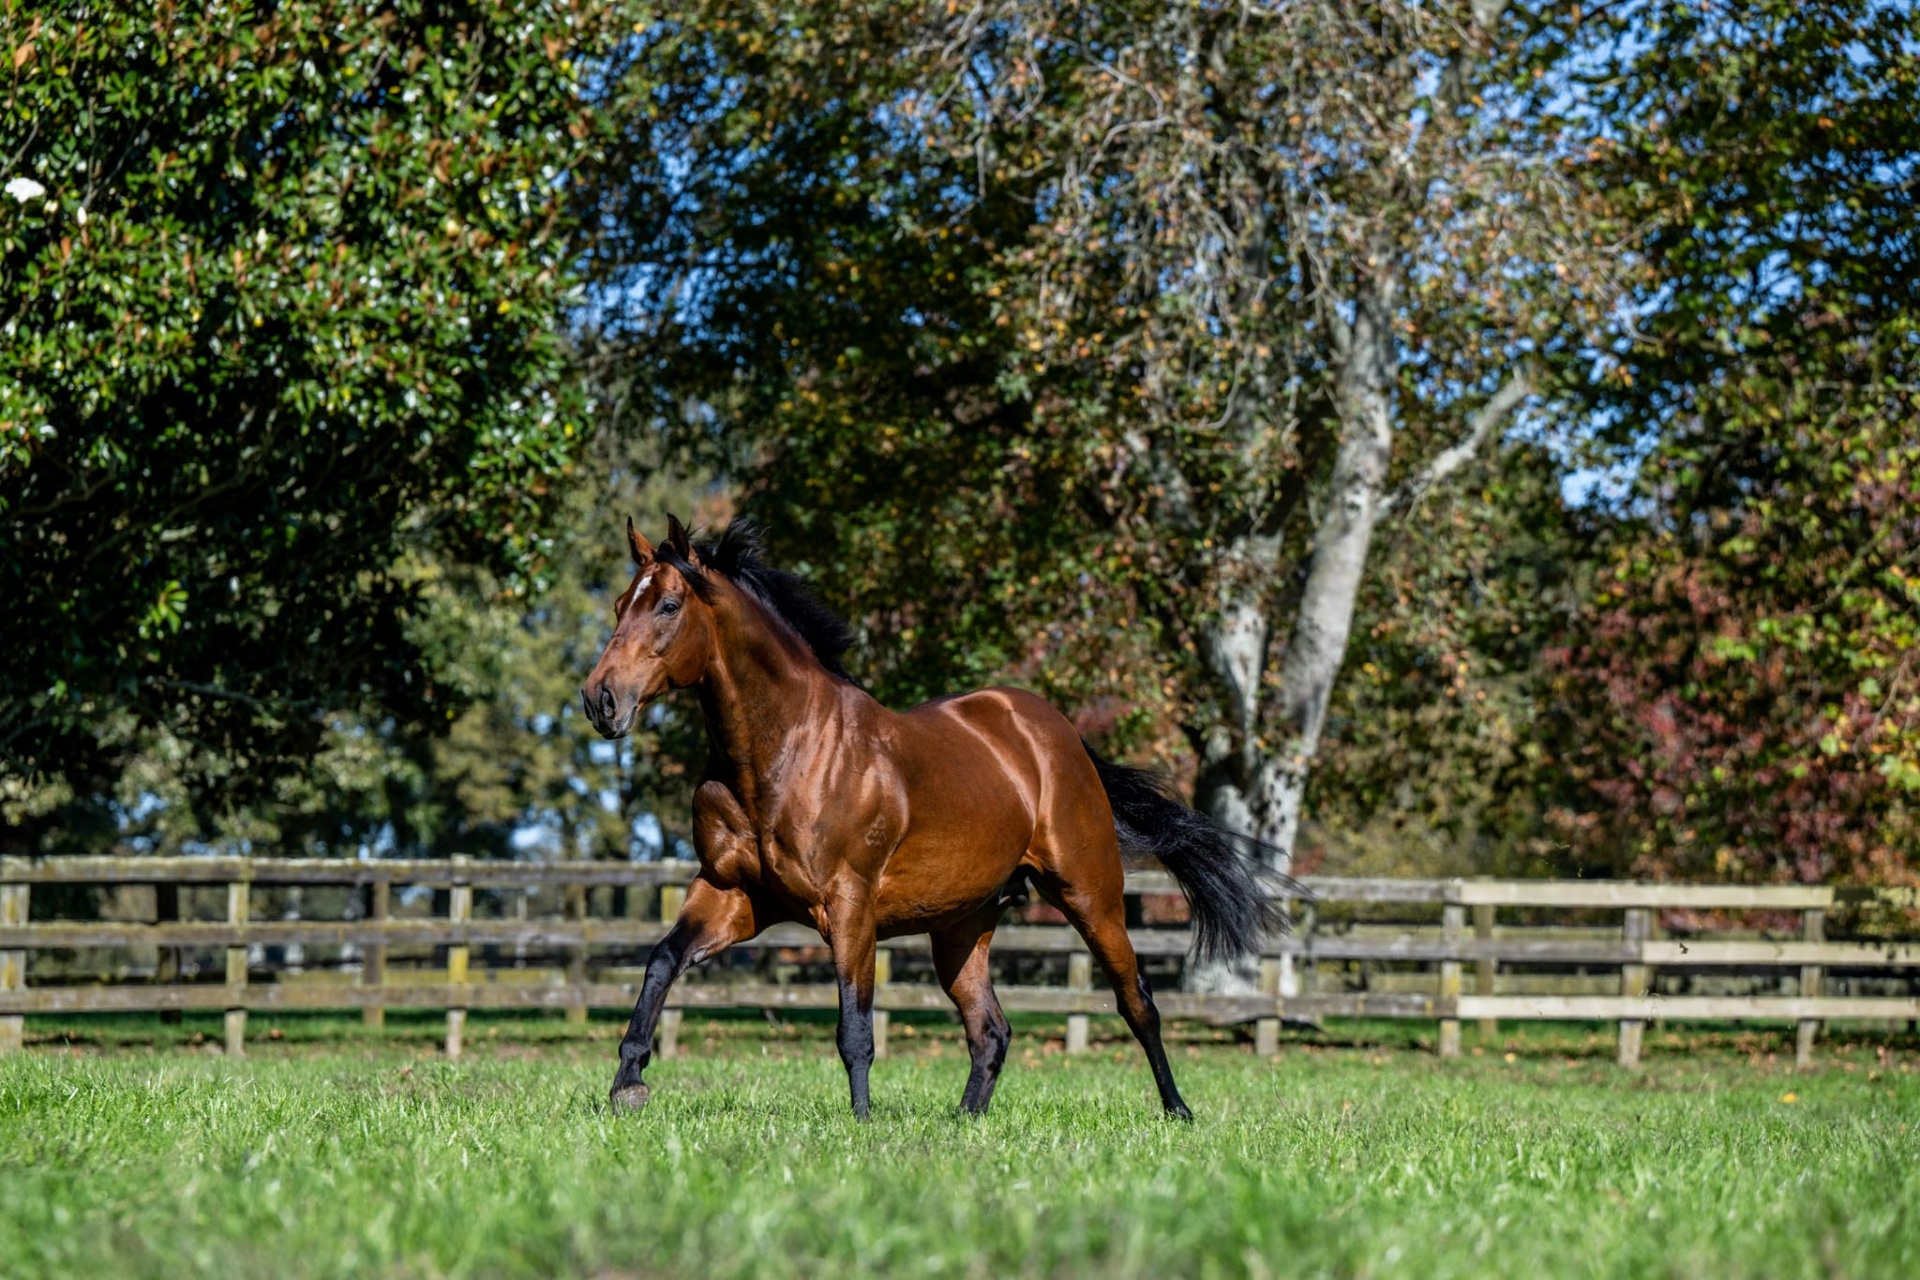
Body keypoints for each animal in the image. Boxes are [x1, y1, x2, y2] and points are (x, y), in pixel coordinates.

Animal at [580, 515, 1281, 1120]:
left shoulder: (849, 905)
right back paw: (964, 1122)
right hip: (961, 926)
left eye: (668, 607)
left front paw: (861, 1125)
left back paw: (1178, 1110)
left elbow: (855, 1027)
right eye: (618, 605)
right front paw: (628, 1083)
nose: (600, 700)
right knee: (991, 1029)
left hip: (1091, 895)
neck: (784, 751)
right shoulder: (732, 895)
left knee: (1138, 1003)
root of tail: (1059, 735)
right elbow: (660, 963)